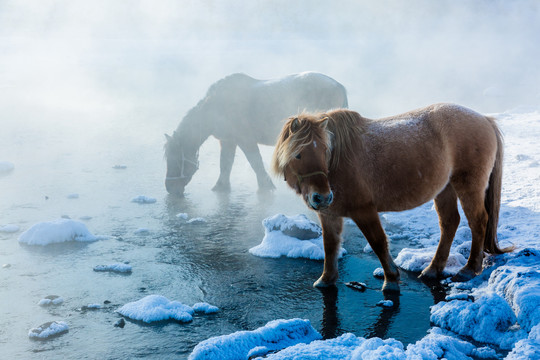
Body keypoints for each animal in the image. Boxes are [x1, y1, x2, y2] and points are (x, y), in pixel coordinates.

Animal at [165, 71, 348, 195]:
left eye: (176, 160)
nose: (169, 188)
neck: (216, 106)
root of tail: (339, 85)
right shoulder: (228, 141)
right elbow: (225, 164)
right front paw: (220, 186)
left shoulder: (245, 140)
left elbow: (255, 162)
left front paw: (266, 185)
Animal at [274, 105, 510, 292]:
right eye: (298, 154)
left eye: (325, 150)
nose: (322, 197)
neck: (338, 163)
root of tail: (484, 119)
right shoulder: (329, 215)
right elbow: (330, 246)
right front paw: (326, 280)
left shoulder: (364, 210)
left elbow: (378, 242)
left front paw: (391, 280)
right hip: (445, 189)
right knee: (450, 223)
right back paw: (433, 269)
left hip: (468, 186)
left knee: (478, 221)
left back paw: (469, 269)